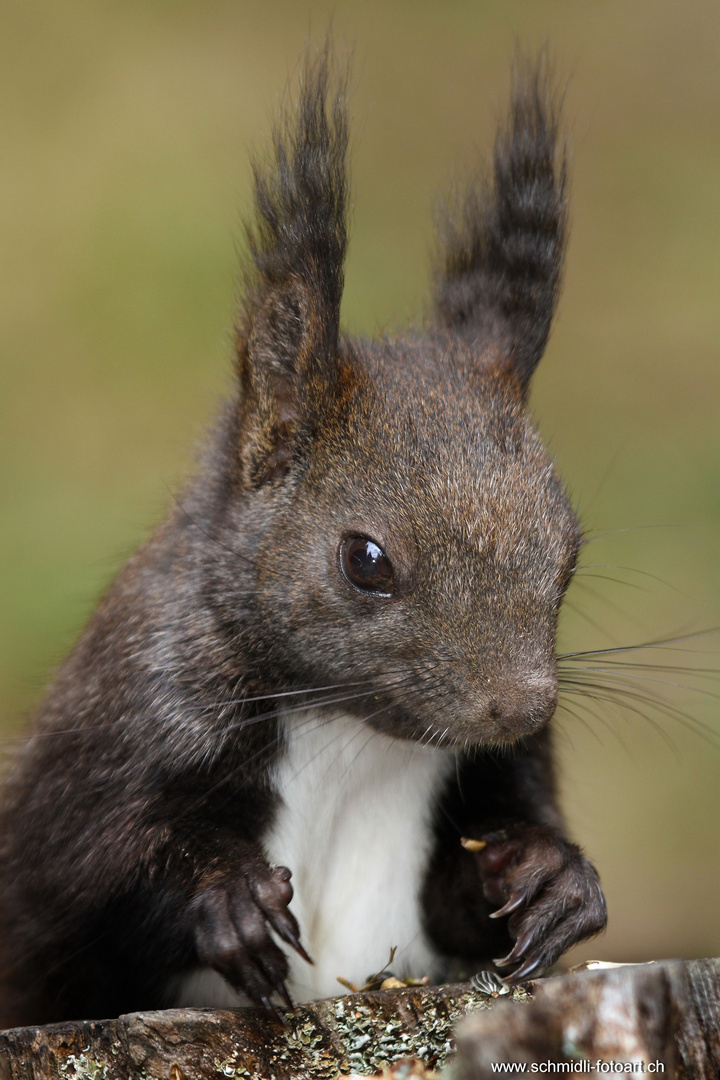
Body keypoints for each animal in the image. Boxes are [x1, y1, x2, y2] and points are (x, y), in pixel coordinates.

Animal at [0, 52, 608, 1028]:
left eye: (571, 551)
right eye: (366, 560)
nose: (518, 709)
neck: (349, 731)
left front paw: (552, 874)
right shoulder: (113, 743)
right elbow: (87, 886)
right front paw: (227, 899)